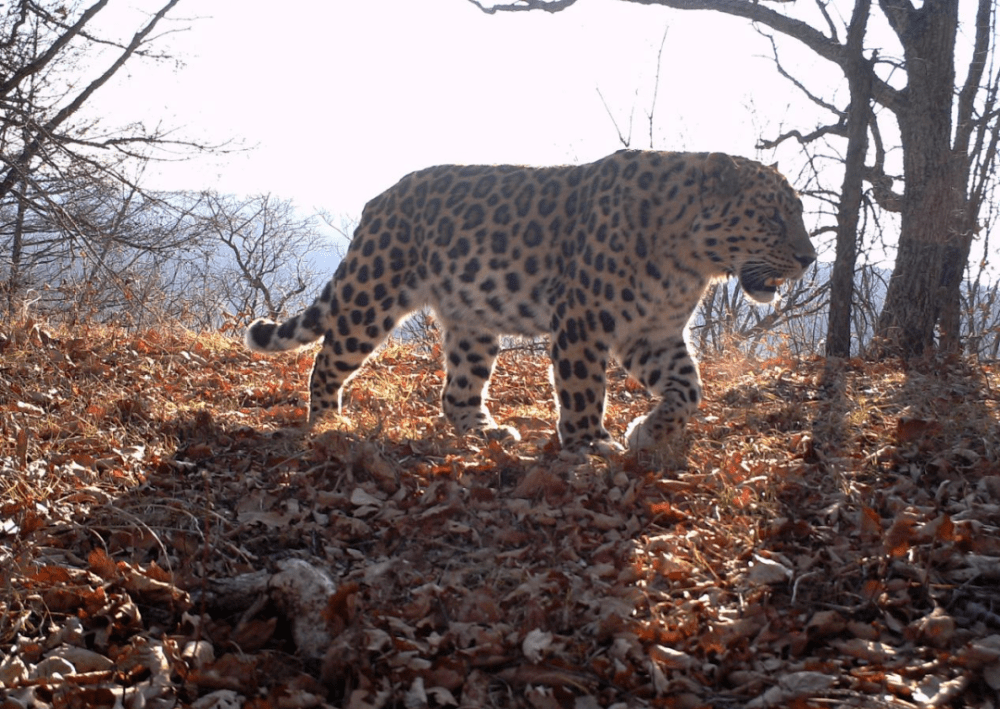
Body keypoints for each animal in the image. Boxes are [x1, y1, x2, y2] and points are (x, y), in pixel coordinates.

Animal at [246, 151, 816, 454]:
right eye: (773, 216)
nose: (810, 257)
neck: (690, 259)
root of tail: (379, 199)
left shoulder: (651, 333)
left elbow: (689, 389)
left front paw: (648, 432)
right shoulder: (584, 322)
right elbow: (584, 390)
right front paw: (590, 445)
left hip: (473, 320)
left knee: (456, 391)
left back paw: (487, 431)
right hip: (372, 293)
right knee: (326, 360)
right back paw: (327, 422)